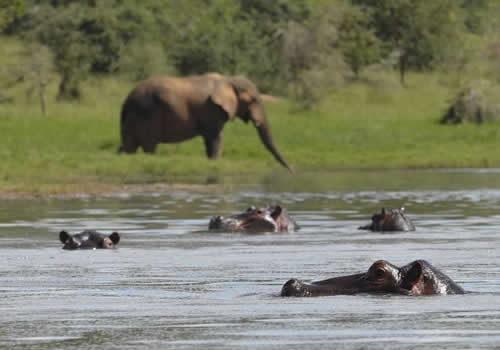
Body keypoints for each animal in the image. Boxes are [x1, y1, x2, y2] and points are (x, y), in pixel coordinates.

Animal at [118, 73, 292, 172]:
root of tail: (127, 101)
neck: (229, 80)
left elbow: (210, 141)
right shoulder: (212, 109)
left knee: (128, 146)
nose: (292, 170)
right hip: (148, 113)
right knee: (149, 146)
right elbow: (215, 138)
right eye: (253, 100)